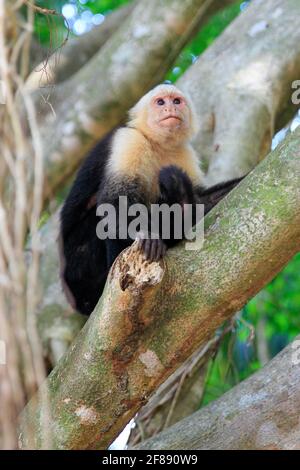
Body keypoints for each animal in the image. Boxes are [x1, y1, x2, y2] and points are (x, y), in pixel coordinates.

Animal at [59, 83, 244, 316]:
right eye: (160, 102)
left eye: (176, 101)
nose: (170, 109)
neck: (158, 144)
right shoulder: (130, 141)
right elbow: (115, 200)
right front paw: (147, 235)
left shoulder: (184, 153)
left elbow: (203, 201)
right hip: (79, 268)